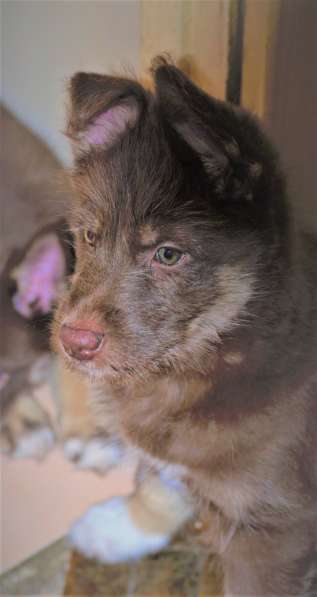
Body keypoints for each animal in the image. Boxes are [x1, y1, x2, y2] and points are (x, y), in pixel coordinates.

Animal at [53, 59, 314, 592]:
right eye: (89, 236)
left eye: (168, 254)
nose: (74, 342)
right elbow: (158, 478)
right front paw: (120, 529)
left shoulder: (277, 525)